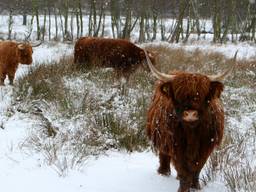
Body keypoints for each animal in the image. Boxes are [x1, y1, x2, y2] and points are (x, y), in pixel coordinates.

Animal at [145, 50, 237, 192]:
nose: (190, 114)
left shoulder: (206, 145)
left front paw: (196, 187)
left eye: (202, 95)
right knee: (164, 155)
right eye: (178, 95)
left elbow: (197, 168)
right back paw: (163, 172)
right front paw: (183, 188)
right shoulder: (176, 145)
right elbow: (183, 169)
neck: (192, 131)